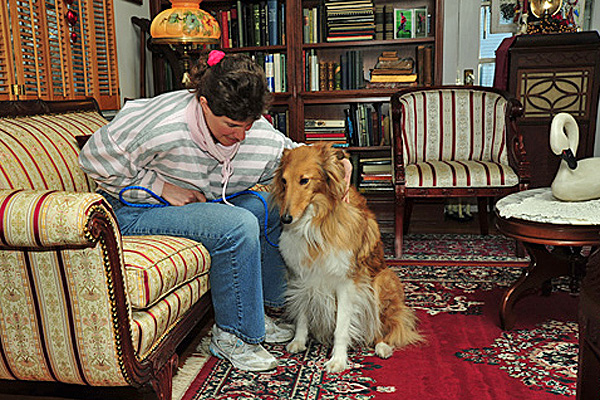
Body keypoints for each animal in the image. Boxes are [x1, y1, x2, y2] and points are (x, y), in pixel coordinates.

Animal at [272, 143, 422, 372]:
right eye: (284, 181)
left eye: (304, 180)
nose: (286, 218)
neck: (315, 220)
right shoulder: (301, 277)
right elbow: (302, 313)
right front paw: (298, 340)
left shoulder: (347, 284)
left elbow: (341, 327)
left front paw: (338, 360)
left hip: (381, 282)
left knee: (379, 326)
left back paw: (382, 346)